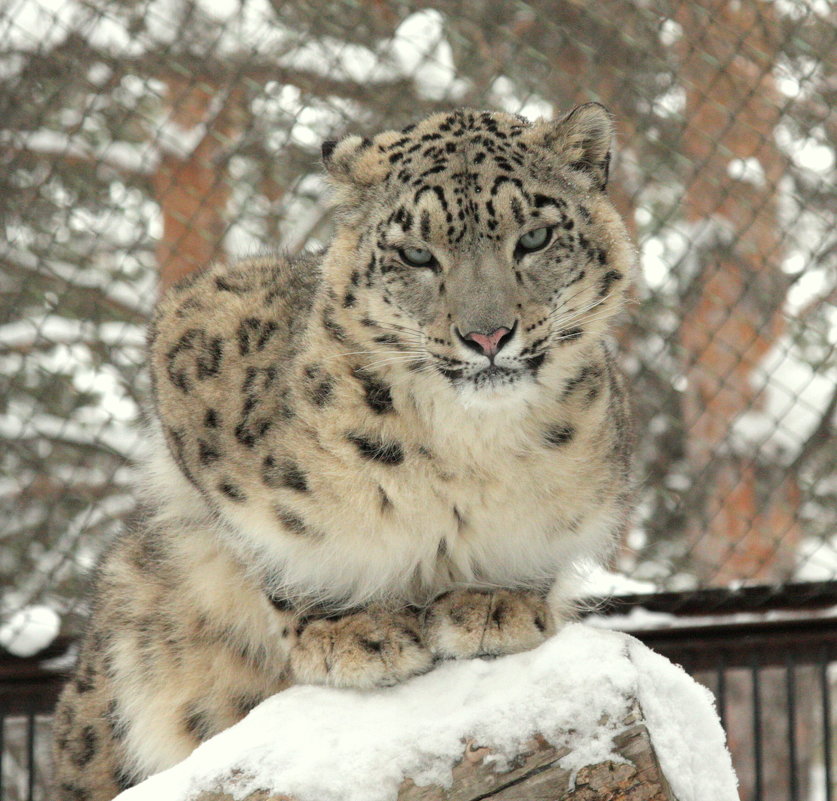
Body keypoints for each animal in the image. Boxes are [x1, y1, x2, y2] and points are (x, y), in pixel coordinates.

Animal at [52, 106, 632, 800]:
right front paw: (352, 630)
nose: (488, 335)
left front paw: (495, 602)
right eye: (416, 253)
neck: (469, 447)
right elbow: (273, 547)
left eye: (536, 237)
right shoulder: (193, 338)